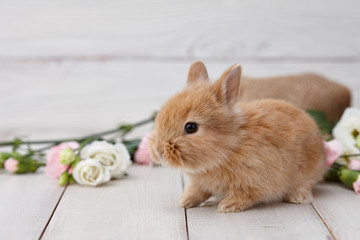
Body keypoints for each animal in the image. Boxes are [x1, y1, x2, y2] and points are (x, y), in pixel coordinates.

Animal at [149, 61, 326, 212]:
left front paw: (228, 206)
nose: (159, 151)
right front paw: (185, 200)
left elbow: (246, 194)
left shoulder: (256, 180)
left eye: (191, 127)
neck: (230, 147)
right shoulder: (200, 184)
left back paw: (299, 197)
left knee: (307, 184)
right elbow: (198, 191)